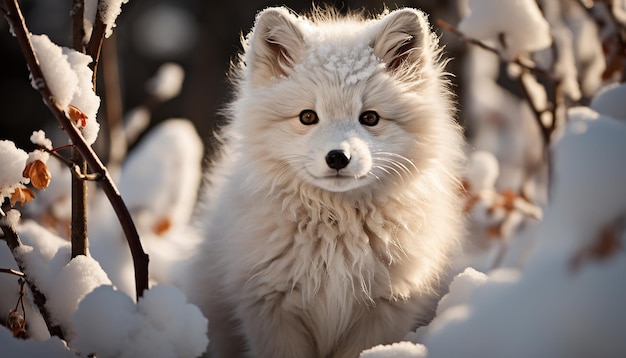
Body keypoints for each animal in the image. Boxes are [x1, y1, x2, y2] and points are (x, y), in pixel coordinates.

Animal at [188, 6, 466, 358]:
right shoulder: (271, 308)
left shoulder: (384, 310)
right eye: (308, 117)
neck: (336, 228)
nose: (337, 157)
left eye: (370, 118)